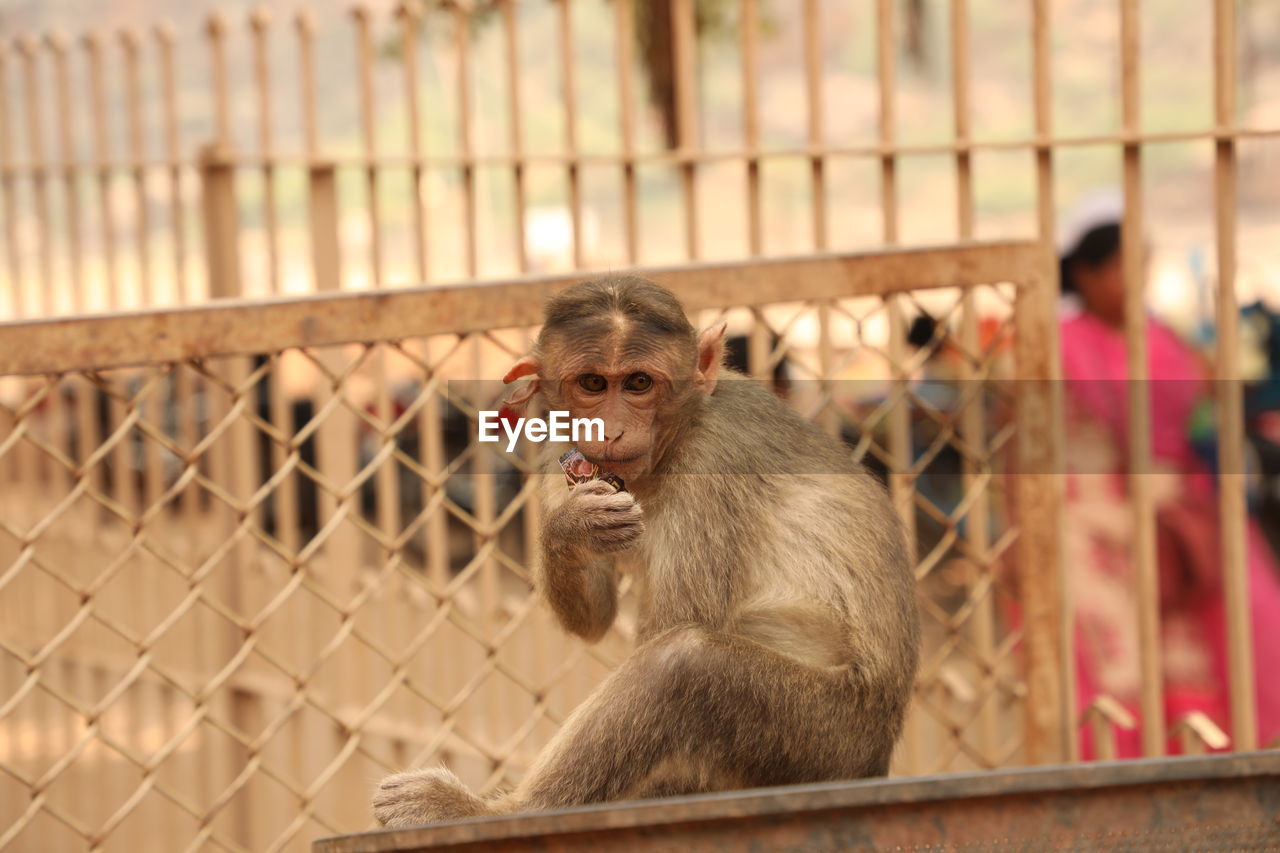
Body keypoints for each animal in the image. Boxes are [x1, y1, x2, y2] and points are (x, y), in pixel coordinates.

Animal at [373, 274, 921, 824]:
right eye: (593, 384)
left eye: (639, 383)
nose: (610, 429)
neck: (674, 438)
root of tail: (877, 754)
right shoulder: (559, 451)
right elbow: (594, 616)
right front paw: (571, 528)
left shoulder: (713, 461)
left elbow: (677, 626)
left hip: (828, 740)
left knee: (683, 664)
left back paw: (498, 811)